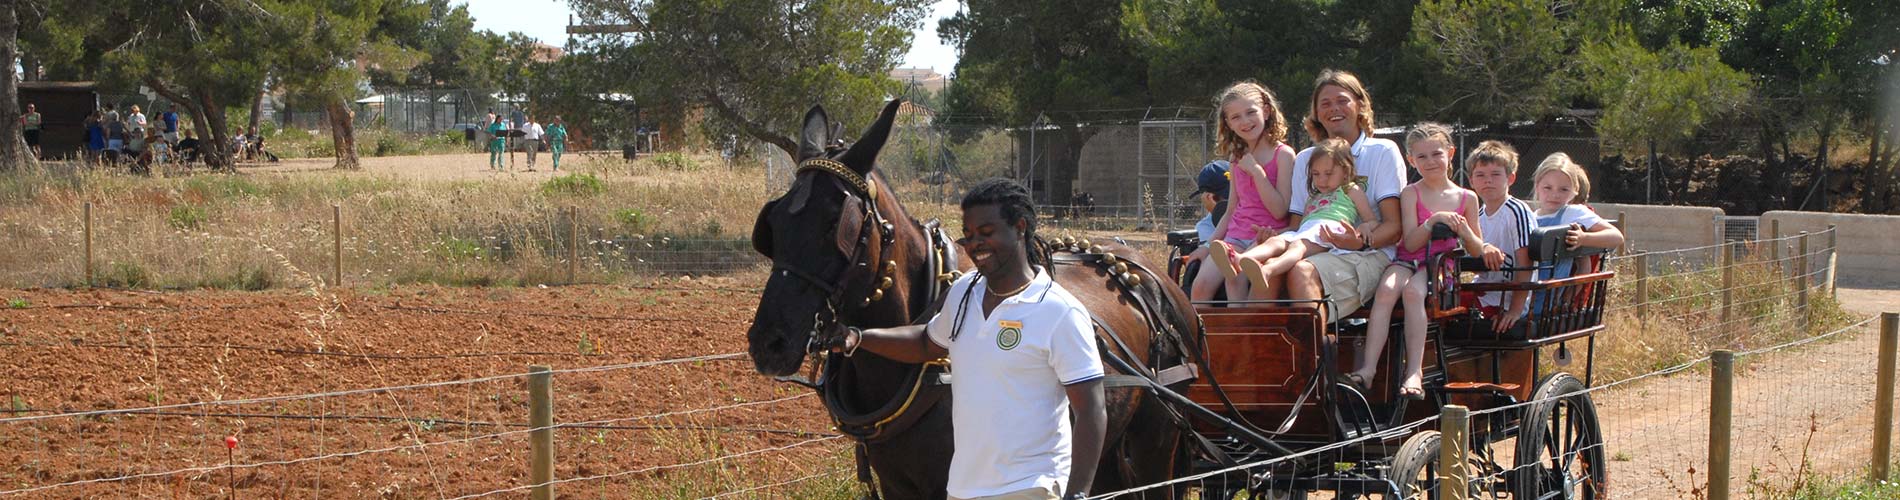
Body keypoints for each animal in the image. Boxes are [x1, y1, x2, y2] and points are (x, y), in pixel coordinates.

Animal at [747, 99, 1203, 499]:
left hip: (1156, 440)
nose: (768, 342)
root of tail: (1147, 272)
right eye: (773, 223)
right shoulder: (897, 485)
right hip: (1108, 443)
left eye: (835, 224)